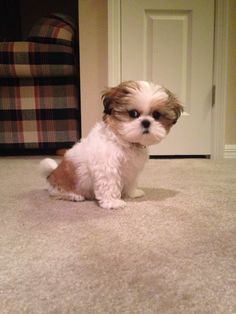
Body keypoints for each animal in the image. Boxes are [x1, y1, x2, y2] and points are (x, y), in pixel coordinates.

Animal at [40, 81, 183, 209]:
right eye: (133, 113)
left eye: (156, 115)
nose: (146, 122)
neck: (124, 141)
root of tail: (52, 174)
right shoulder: (107, 167)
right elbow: (109, 185)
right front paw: (113, 202)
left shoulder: (132, 169)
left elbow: (131, 181)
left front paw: (132, 193)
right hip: (62, 183)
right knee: (56, 193)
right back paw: (74, 196)